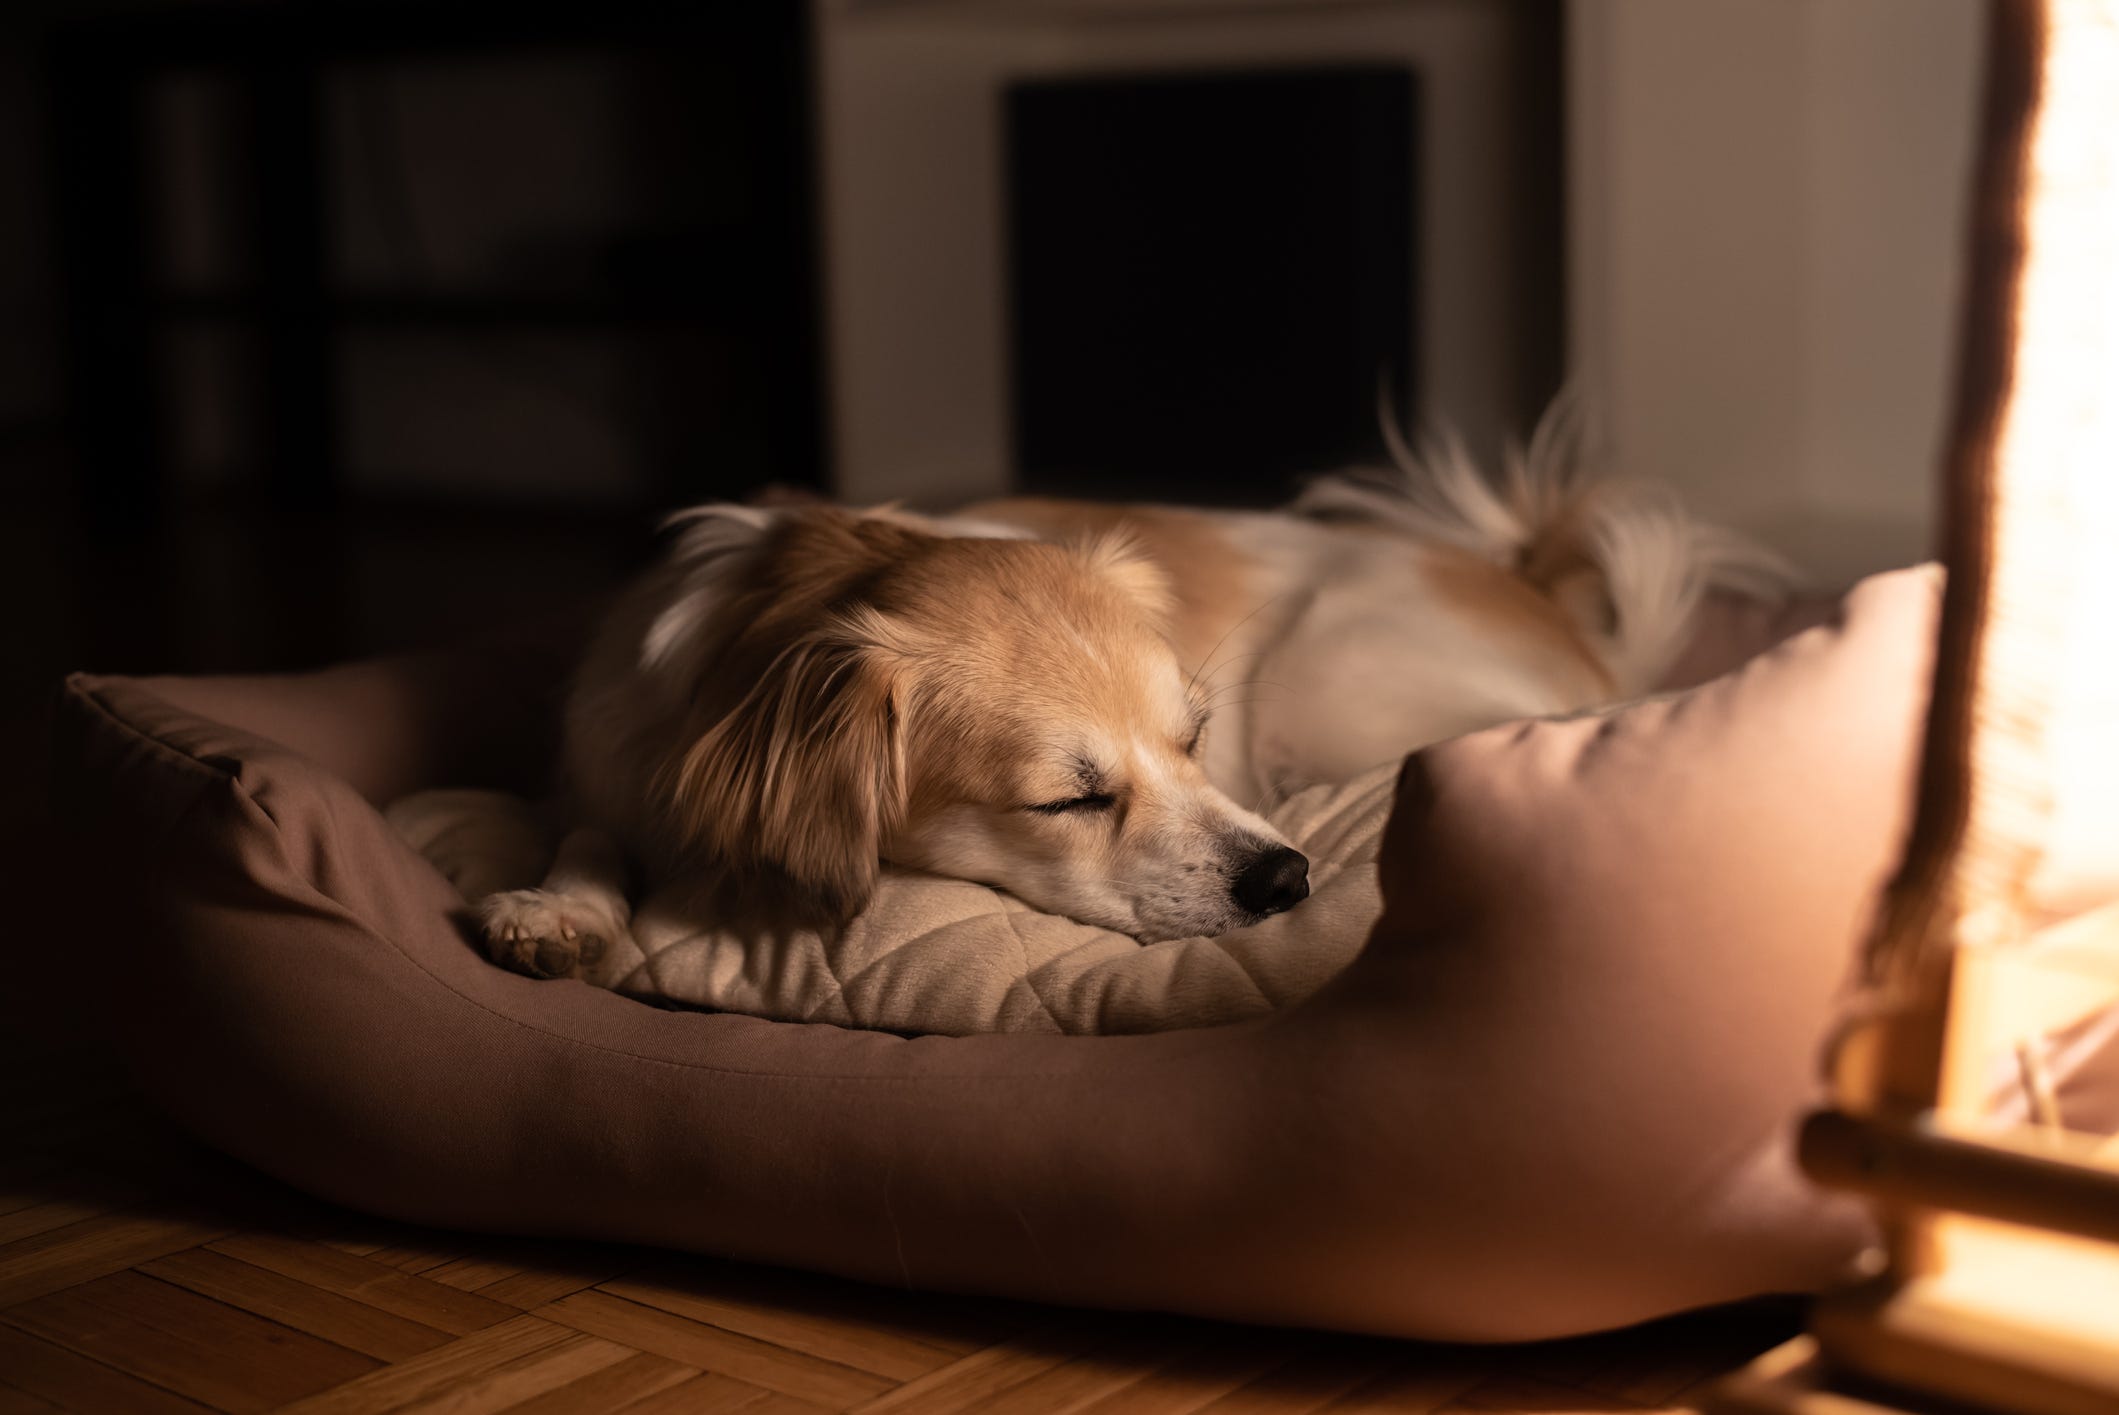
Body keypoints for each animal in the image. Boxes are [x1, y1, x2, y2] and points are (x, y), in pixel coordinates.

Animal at [481, 398, 1788, 974]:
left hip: (1334, 673)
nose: (1289, 878)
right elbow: (582, 831)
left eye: (1196, 737)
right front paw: (558, 905)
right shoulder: (604, 764)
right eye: (1068, 800)